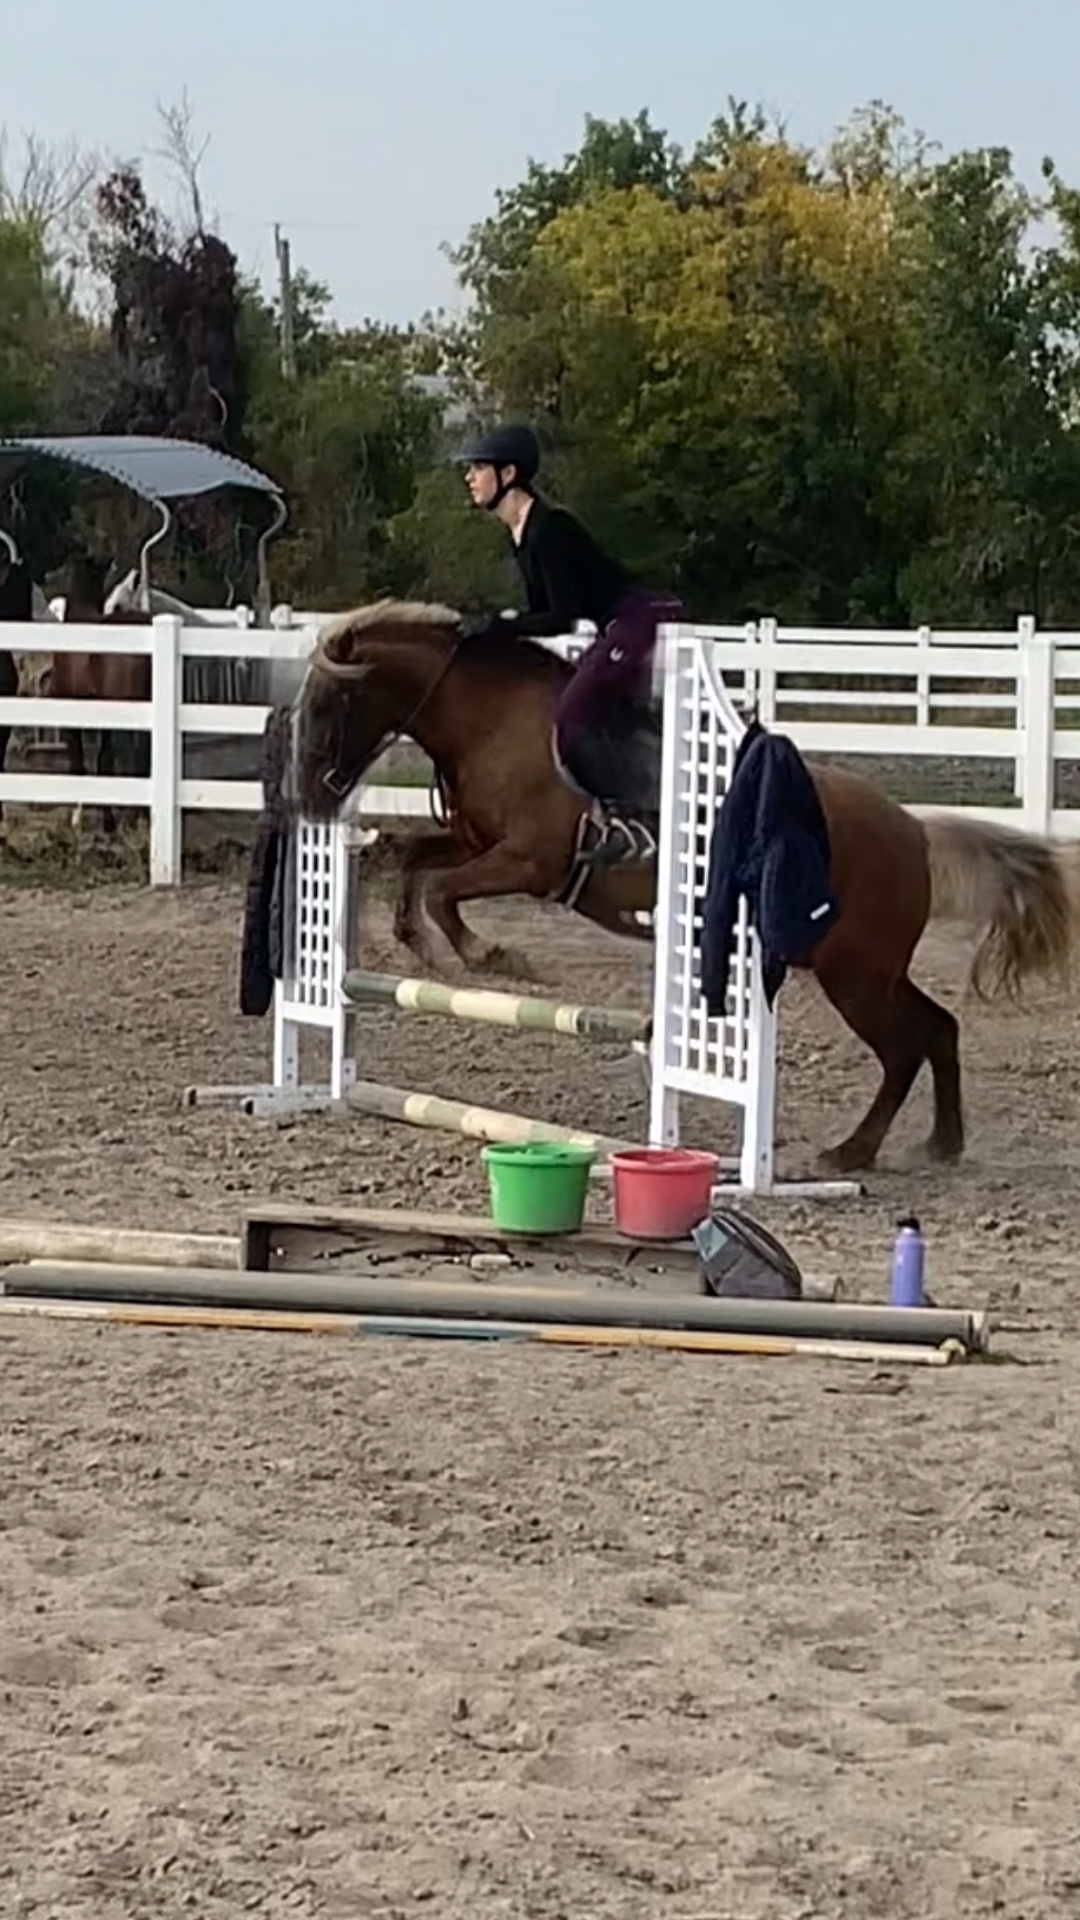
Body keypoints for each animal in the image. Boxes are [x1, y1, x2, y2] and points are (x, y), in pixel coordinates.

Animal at [290, 597, 1078, 1175]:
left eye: (330, 706)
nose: (310, 797)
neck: (491, 719)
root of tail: (912, 829)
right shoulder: (477, 842)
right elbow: (413, 863)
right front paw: (416, 943)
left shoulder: (528, 861)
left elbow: (445, 890)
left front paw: (495, 958)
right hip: (866, 966)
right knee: (938, 1027)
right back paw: (940, 1144)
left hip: (853, 974)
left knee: (903, 1049)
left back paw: (851, 1152)